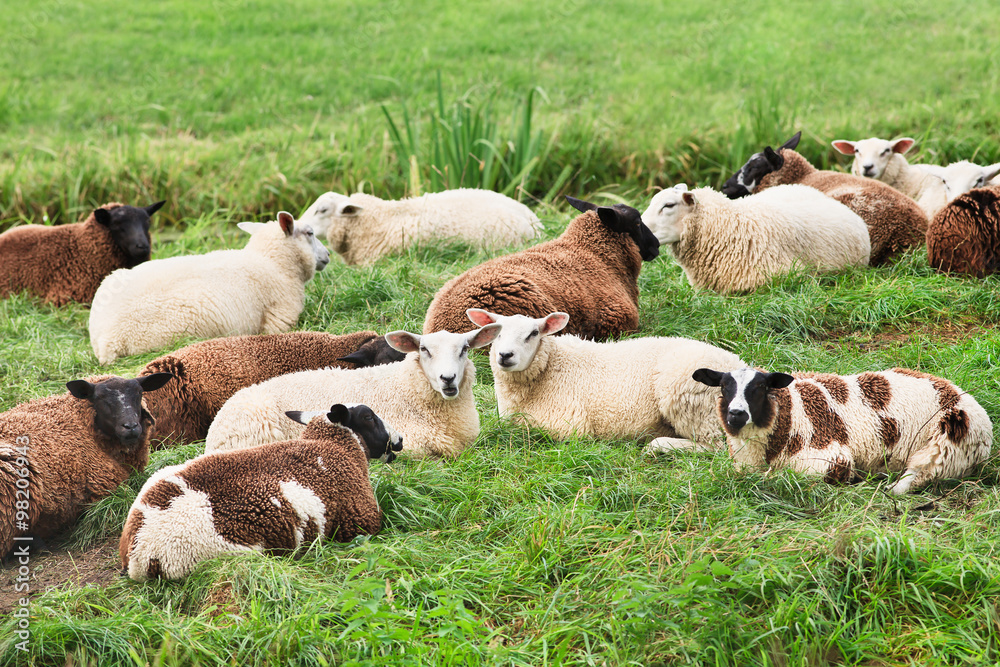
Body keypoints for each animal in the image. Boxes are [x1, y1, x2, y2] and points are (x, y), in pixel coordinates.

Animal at [465, 309, 746, 452]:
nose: (505, 356)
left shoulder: (569, 426)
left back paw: (658, 446)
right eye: (496, 333)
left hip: (689, 400)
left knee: (717, 447)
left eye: (533, 334)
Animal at [691, 367, 992, 494]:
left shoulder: (831, 457)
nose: (736, 414)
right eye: (723, 387)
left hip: (945, 446)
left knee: (917, 476)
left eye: (761, 387)